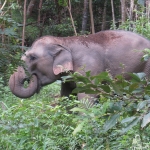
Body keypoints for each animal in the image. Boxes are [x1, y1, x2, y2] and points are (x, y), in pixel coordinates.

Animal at [8, 29, 150, 101]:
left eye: (33, 57)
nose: (30, 77)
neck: (64, 41)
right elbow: (66, 96)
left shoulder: (89, 69)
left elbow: (87, 97)